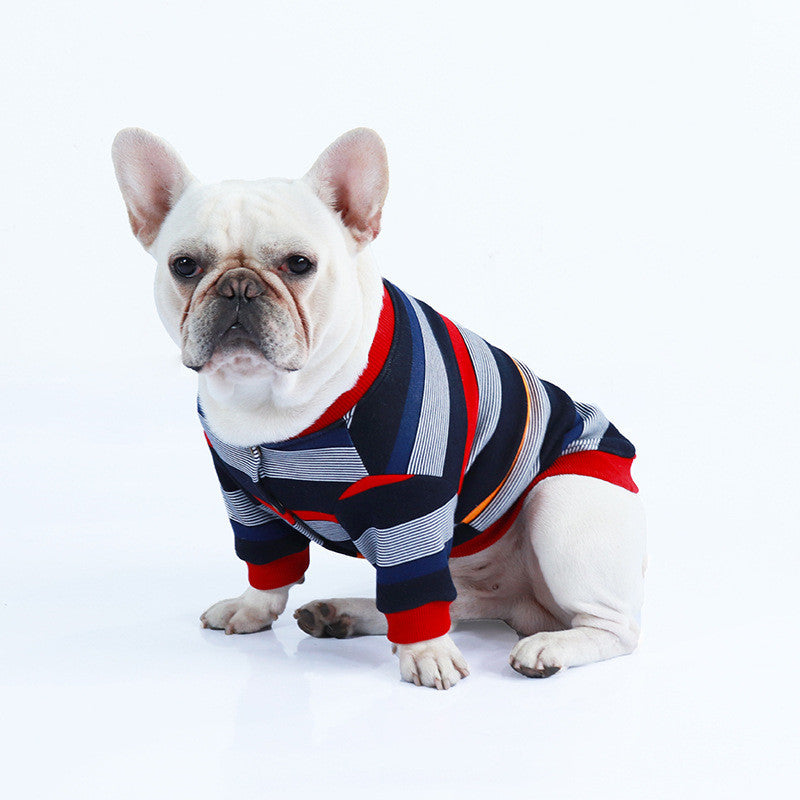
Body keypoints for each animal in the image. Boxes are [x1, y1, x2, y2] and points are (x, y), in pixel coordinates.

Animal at [112, 125, 648, 688]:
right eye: (185, 266)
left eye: (299, 264)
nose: (239, 286)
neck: (272, 401)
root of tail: (526, 608)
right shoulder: (242, 496)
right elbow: (268, 562)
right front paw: (253, 607)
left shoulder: (407, 499)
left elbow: (412, 580)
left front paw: (427, 652)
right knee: (454, 600)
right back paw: (345, 615)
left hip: (565, 499)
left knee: (615, 629)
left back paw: (549, 647)